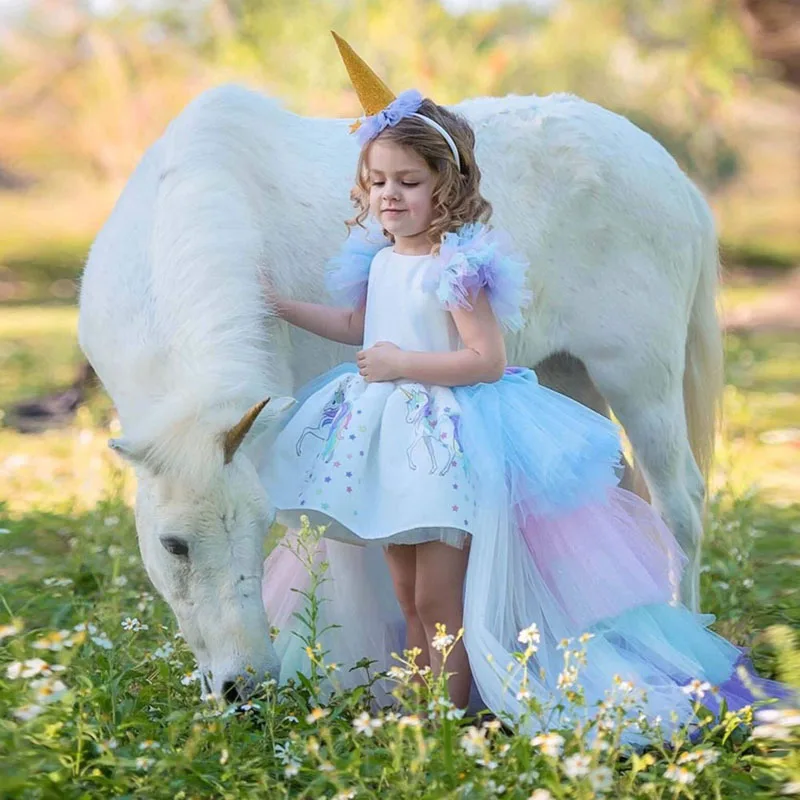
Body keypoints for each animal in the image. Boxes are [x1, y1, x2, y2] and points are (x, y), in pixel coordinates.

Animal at [78, 86, 720, 700]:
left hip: (639, 380)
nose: (246, 688)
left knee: (679, 505)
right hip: (569, 375)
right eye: (174, 545)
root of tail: (672, 175)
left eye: (260, 531)